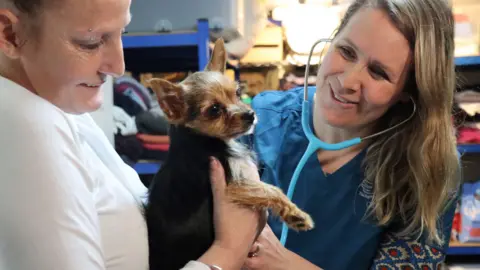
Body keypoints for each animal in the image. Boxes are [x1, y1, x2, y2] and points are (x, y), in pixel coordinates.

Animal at [144, 38, 314, 270]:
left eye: (237, 93)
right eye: (214, 110)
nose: (250, 115)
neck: (205, 140)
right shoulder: (232, 187)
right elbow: (271, 189)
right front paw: (296, 214)